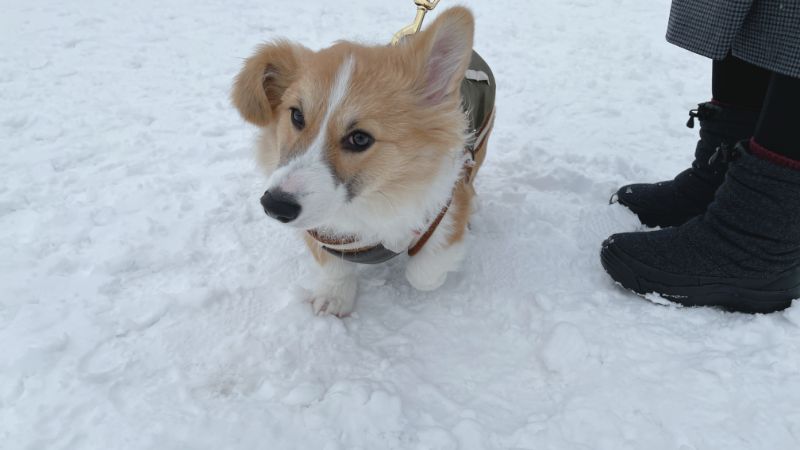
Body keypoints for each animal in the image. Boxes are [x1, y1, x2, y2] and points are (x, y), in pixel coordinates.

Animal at [231, 7, 494, 316]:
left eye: (359, 138)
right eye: (296, 115)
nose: (274, 206)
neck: (370, 201)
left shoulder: (443, 209)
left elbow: (424, 274)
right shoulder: (319, 232)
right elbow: (333, 268)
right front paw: (334, 297)